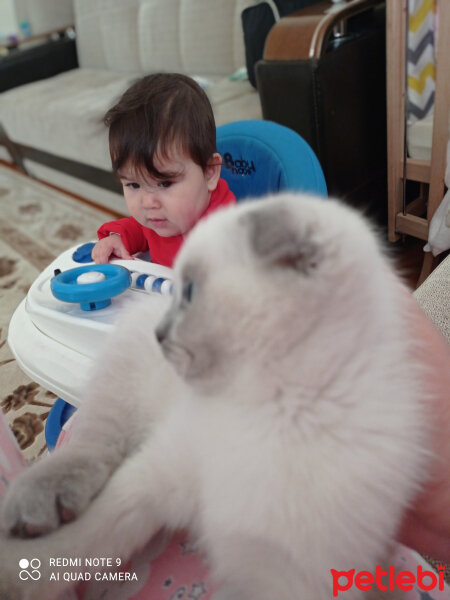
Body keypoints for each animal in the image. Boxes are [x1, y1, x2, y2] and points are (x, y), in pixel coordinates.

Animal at [0, 195, 428, 596]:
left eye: (189, 291)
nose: (160, 334)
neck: (274, 406)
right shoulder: (150, 480)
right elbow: (78, 542)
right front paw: (17, 576)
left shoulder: (288, 578)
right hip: (122, 390)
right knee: (92, 446)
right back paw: (38, 506)